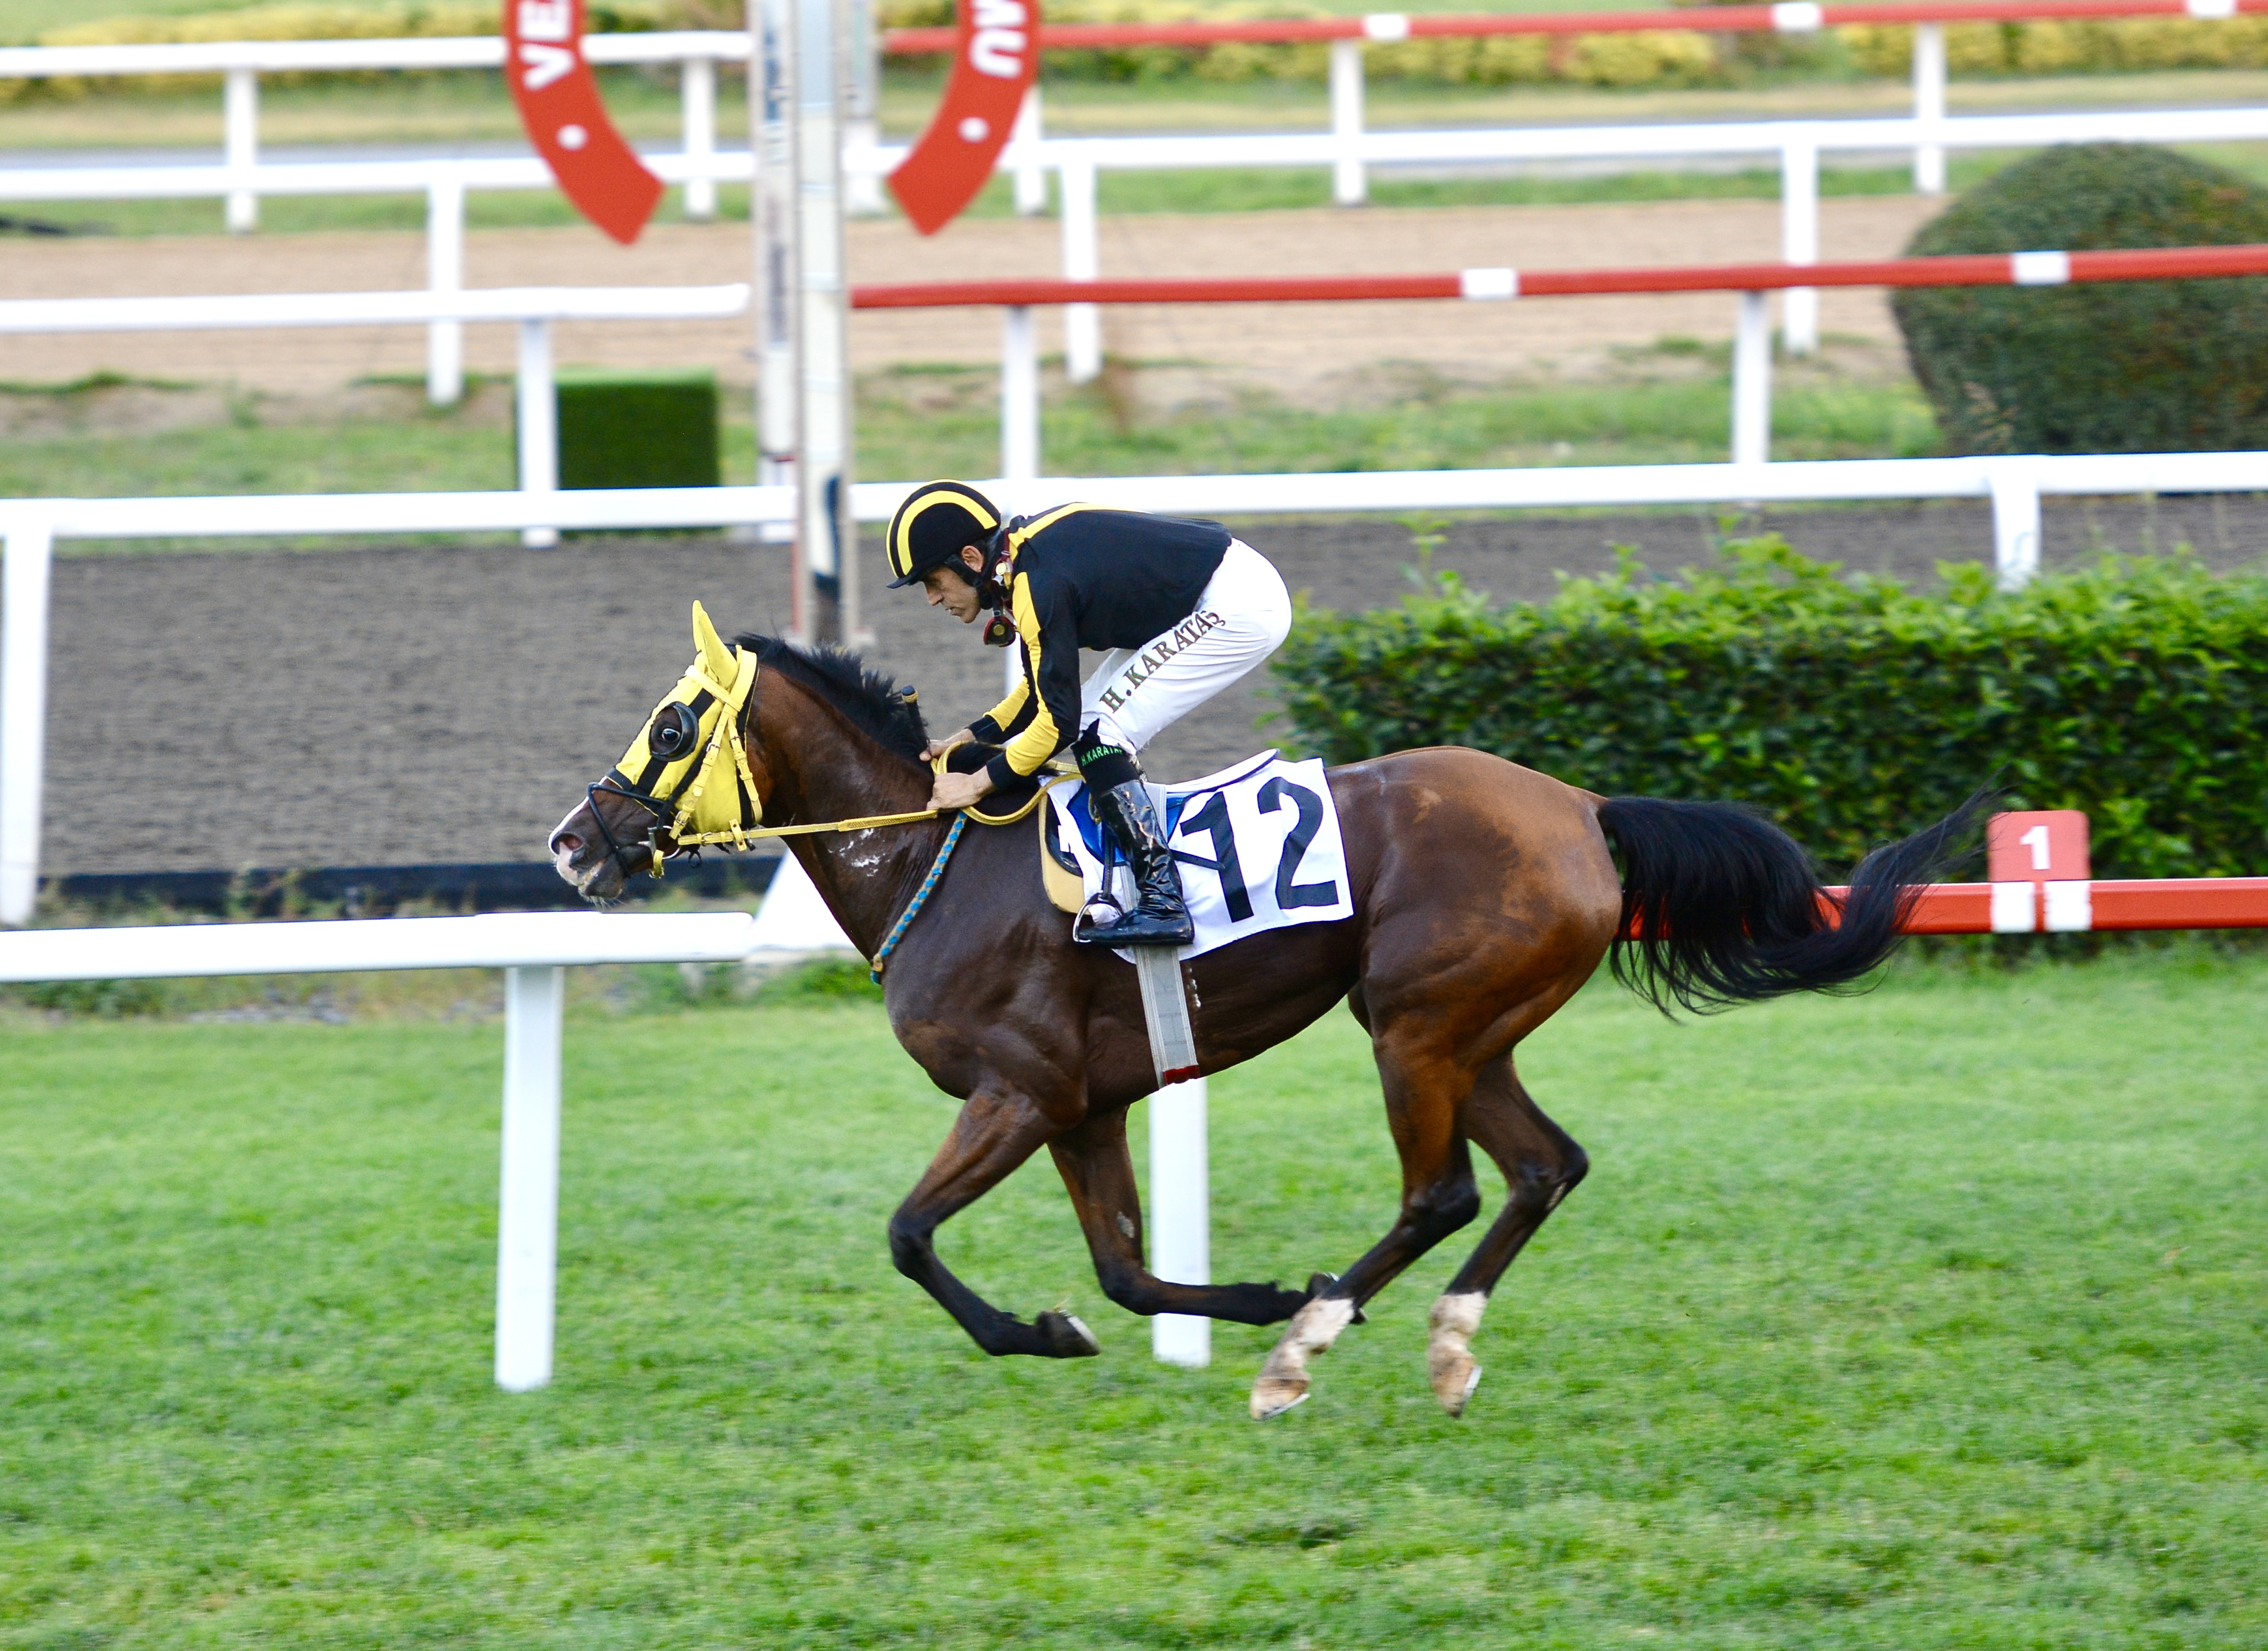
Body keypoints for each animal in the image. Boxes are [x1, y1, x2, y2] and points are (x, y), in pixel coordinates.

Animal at [548, 618, 1975, 1420]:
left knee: (1444, 1191)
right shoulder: (1080, 1105)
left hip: (1409, 1026)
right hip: (1469, 1030)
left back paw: (1305, 1344)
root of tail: (1580, 806)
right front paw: (1170, 1308)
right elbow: (1122, 1271)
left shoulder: (1015, 1091)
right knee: (1542, 1168)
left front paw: (1061, 1329)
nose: (571, 844)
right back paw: (1437, 1345)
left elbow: (908, 1235)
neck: (934, 863)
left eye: (670, 724)